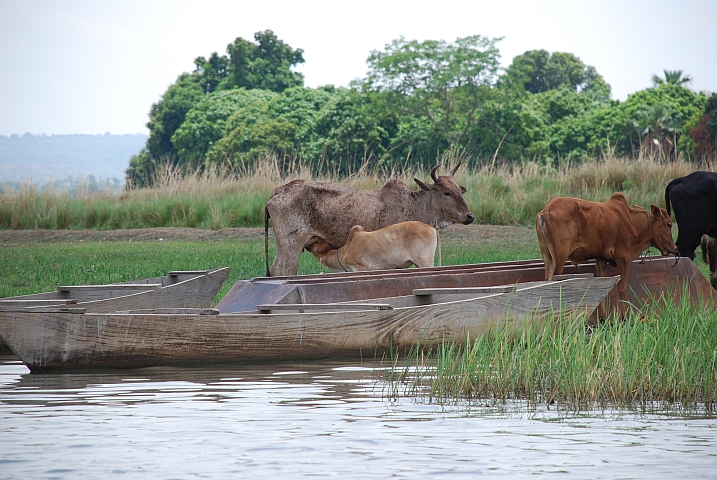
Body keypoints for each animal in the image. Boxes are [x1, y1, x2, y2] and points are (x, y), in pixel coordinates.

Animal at [308, 220, 442, 270]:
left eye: (317, 249)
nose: (308, 246)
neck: (345, 250)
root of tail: (431, 227)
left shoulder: (362, 267)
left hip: (425, 262)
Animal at [536, 193, 676, 316]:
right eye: (669, 224)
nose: (674, 247)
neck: (632, 221)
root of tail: (546, 210)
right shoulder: (622, 258)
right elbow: (622, 288)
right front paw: (625, 317)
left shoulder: (601, 259)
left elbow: (604, 287)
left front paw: (603, 317)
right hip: (560, 258)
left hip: (547, 256)